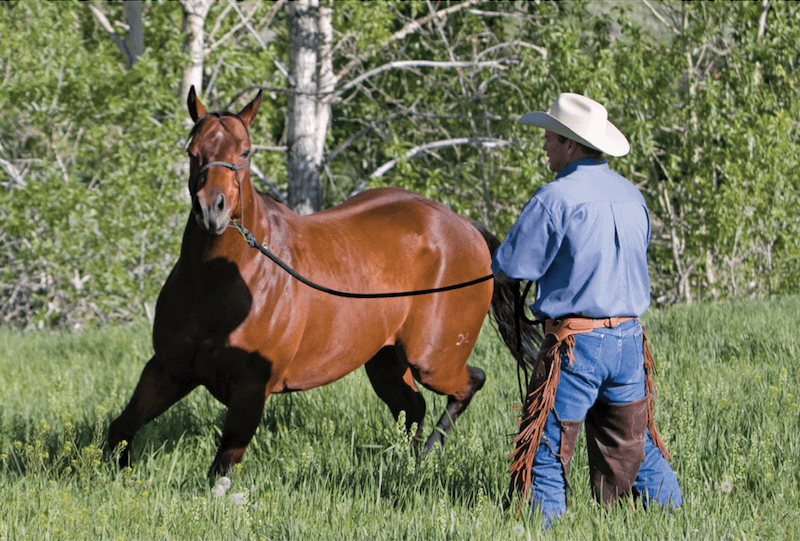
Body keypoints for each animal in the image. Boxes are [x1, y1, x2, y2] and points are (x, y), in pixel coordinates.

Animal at [108, 86, 541, 476]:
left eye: (245, 153)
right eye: (192, 151)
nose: (211, 210)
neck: (219, 285)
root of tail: (465, 225)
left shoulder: (251, 390)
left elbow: (223, 465)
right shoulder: (168, 370)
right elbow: (121, 429)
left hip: (432, 359)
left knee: (468, 384)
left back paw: (428, 456)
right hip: (384, 360)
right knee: (413, 407)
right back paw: (408, 461)